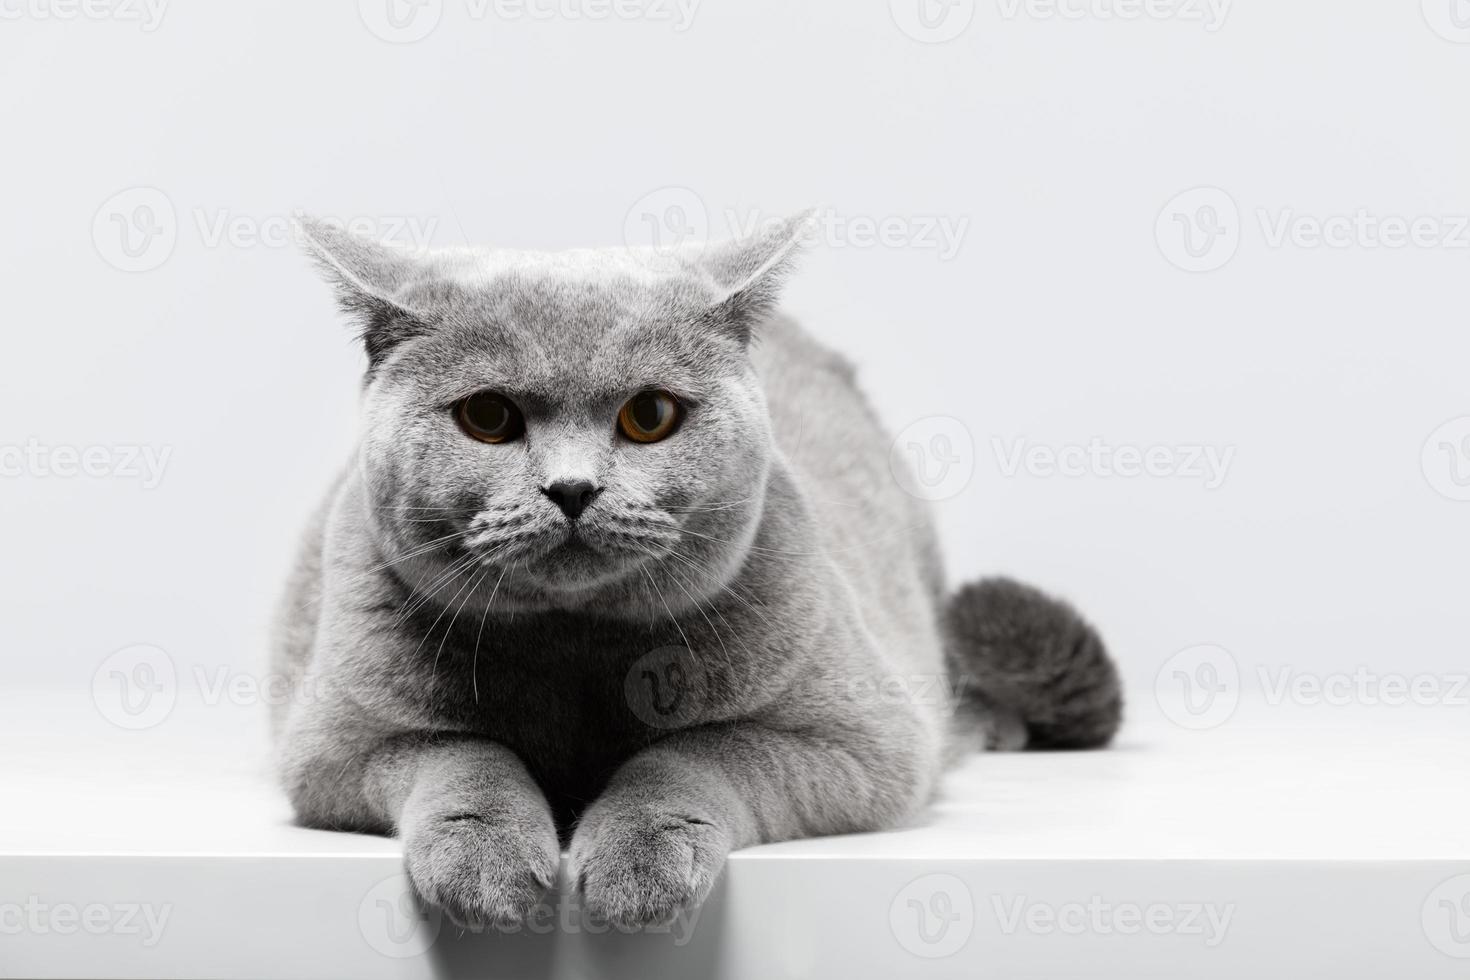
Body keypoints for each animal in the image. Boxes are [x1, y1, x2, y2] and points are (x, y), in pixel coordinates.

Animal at [276, 213, 1117, 928]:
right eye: (487, 417)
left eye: (650, 415)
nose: (572, 488)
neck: (575, 652)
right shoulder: (336, 745)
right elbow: (464, 752)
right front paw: (485, 861)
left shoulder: (865, 741)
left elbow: (694, 752)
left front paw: (639, 860)